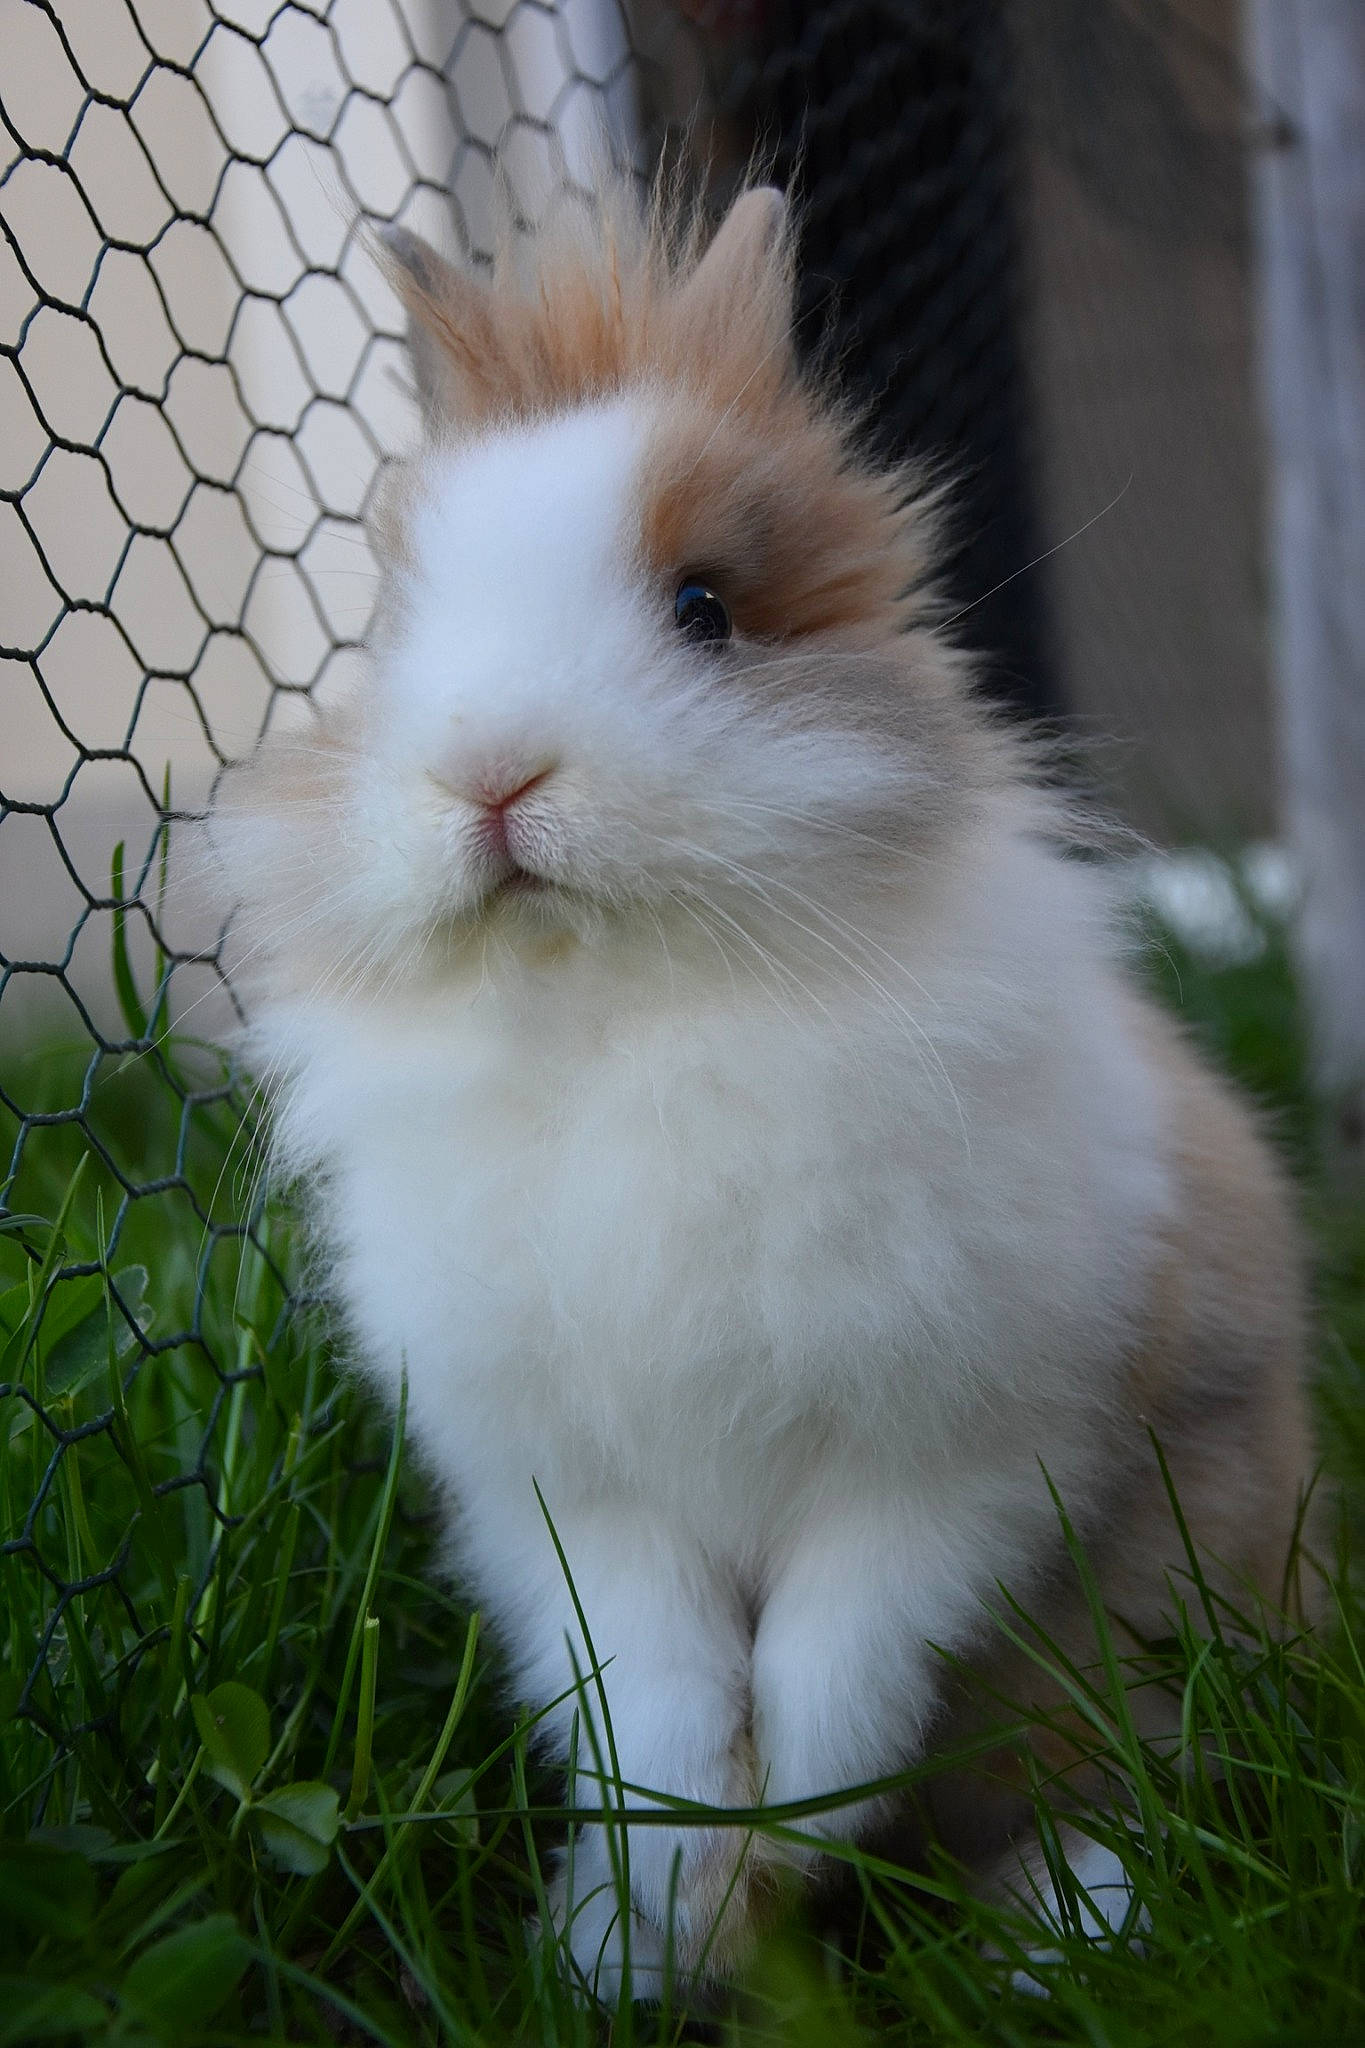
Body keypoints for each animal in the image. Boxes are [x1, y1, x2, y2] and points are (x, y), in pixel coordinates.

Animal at [209, 176, 1316, 2001]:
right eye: (395, 634)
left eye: (704, 610)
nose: (488, 774)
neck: (625, 1011)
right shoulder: (574, 1500)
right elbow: (651, 1698)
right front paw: (691, 1896)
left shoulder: (951, 1453)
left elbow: (838, 1655)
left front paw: (793, 1828)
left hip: (1167, 1596)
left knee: (1109, 1781)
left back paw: (1056, 1931)